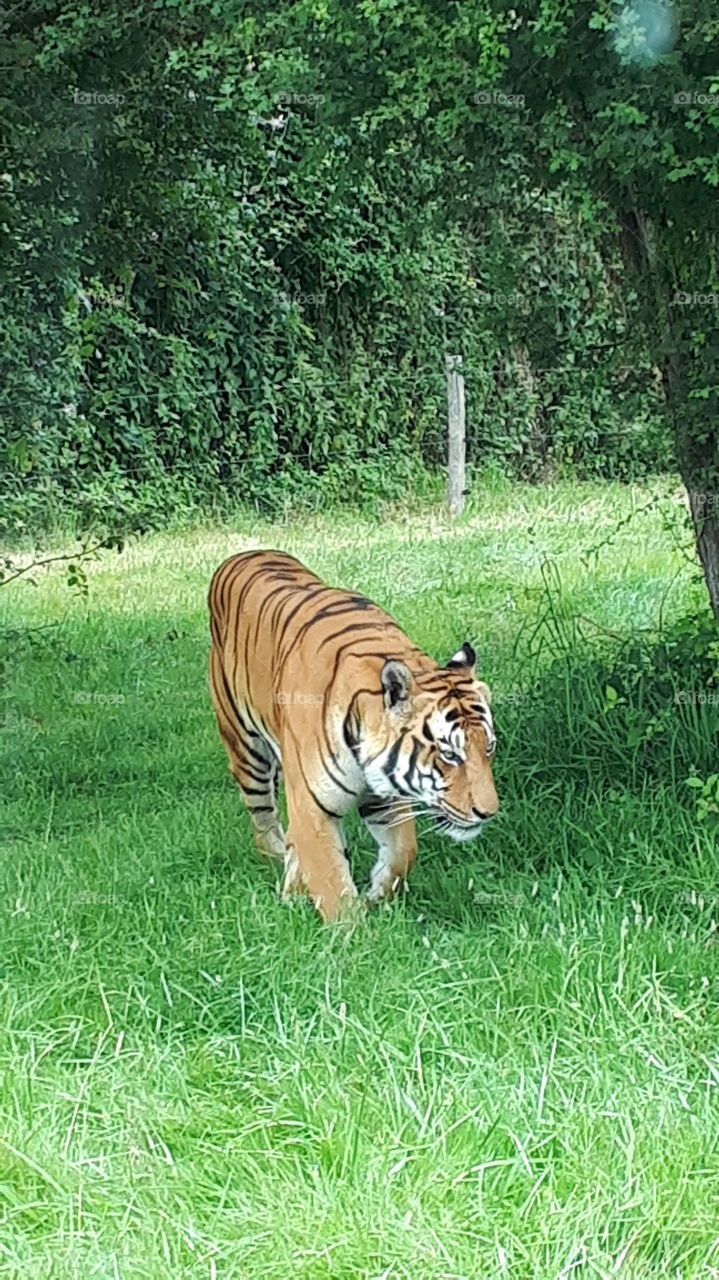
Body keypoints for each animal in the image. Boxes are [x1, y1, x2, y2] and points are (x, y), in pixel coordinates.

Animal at [208, 550, 499, 922]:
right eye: (449, 754)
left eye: (489, 748)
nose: (488, 813)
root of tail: (247, 553)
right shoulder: (313, 809)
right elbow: (333, 884)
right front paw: (354, 932)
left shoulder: (385, 797)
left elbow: (403, 854)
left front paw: (375, 899)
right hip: (247, 751)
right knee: (264, 821)